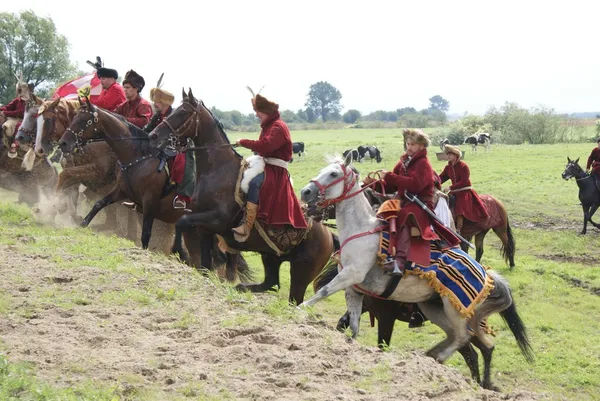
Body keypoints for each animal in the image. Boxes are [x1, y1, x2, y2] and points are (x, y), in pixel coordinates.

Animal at [145, 90, 332, 304]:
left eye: (183, 112)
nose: (153, 135)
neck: (217, 170)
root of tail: (329, 234)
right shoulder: (204, 229)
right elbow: (203, 261)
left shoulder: (217, 221)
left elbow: (182, 222)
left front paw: (180, 252)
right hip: (271, 257)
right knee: (271, 283)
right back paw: (240, 287)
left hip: (301, 273)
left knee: (293, 299)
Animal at [302, 153, 532, 388]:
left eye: (333, 174)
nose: (305, 192)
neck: (362, 230)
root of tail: (487, 275)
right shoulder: (354, 290)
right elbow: (353, 326)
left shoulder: (352, 276)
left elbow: (324, 292)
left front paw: (299, 310)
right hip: (434, 308)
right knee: (475, 343)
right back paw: (442, 359)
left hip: (455, 309)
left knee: (464, 338)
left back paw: (440, 357)